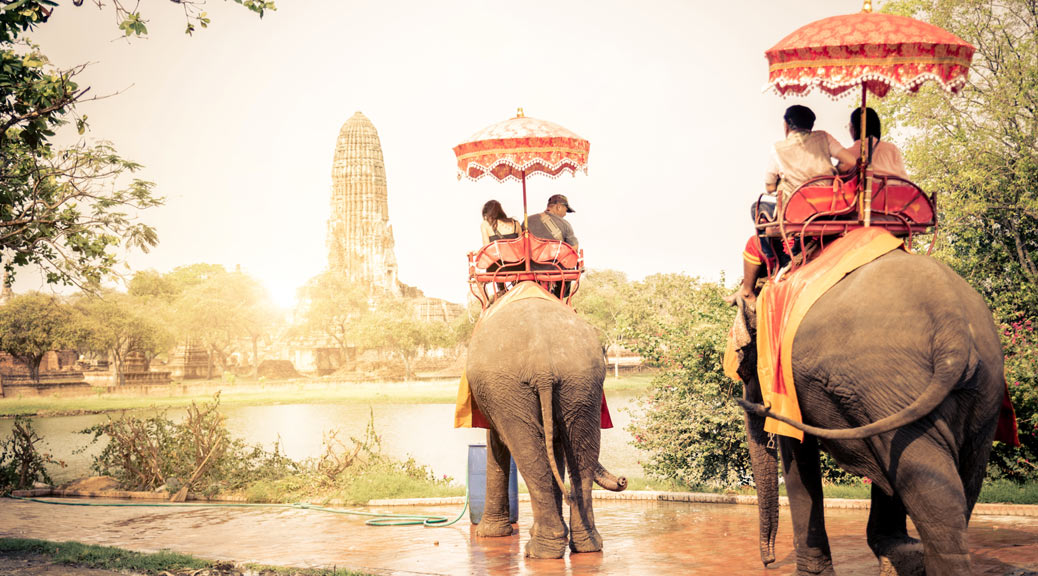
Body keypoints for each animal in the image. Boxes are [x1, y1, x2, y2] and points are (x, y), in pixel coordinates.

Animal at [467, 290, 626, 560]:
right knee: (580, 447)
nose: (624, 480)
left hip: (510, 387)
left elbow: (498, 441)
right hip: (581, 382)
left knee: (526, 449)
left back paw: (540, 551)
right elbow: (557, 445)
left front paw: (488, 535)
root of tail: (542, 364)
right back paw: (585, 545)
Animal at [730, 249, 1004, 576]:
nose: (768, 562)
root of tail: (954, 327)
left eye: (744, 369)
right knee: (959, 476)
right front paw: (898, 554)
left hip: (887, 380)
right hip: (978, 390)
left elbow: (796, 452)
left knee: (926, 483)